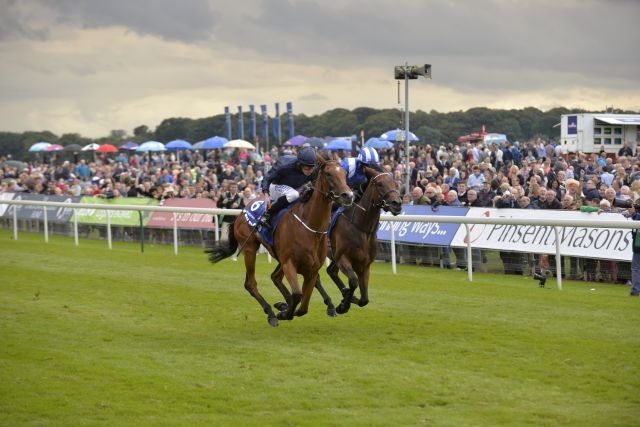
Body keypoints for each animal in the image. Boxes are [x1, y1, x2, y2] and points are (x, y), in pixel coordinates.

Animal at [206, 154, 352, 328]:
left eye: (344, 173)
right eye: (329, 174)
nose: (348, 195)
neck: (310, 226)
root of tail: (242, 211)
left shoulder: (311, 269)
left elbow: (303, 306)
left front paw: (286, 307)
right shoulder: (289, 262)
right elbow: (297, 295)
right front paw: (284, 313)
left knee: (275, 277)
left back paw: (281, 305)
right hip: (250, 248)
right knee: (251, 284)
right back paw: (271, 313)